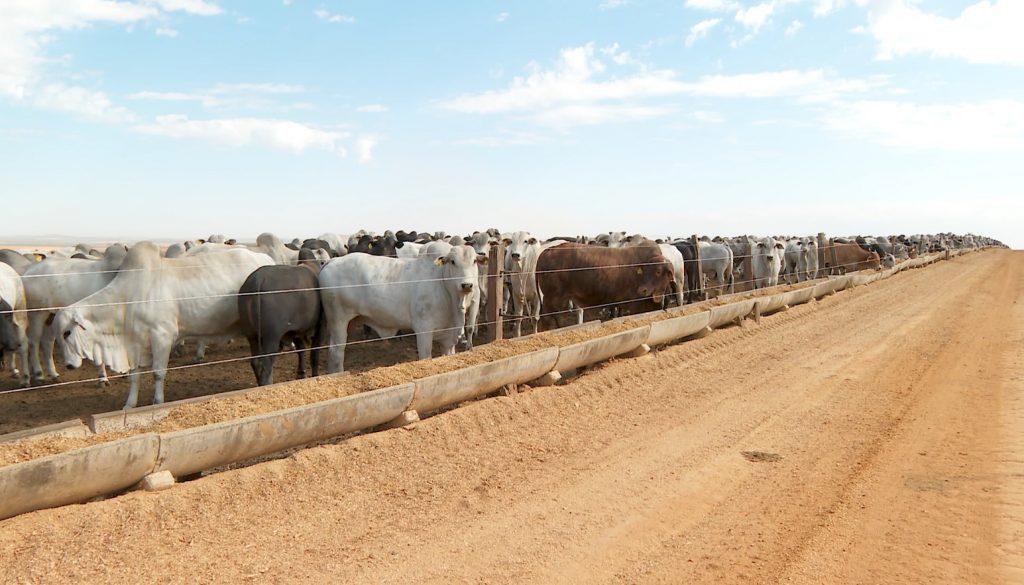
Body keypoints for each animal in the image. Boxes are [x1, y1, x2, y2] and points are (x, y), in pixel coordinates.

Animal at [21, 244, 127, 387]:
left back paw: (54, 375)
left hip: (51, 316)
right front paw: (103, 378)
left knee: (47, 343)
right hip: (37, 314)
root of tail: (28, 272)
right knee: (33, 342)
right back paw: (38, 375)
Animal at [54, 242, 274, 407]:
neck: (128, 297)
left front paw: (157, 402)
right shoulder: (135, 343)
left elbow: (158, 373)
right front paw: (129, 405)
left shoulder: (162, 336)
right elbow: (135, 376)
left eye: (67, 332)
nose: (69, 365)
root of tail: (266, 260)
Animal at [319, 241, 483, 370]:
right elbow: (425, 357)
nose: (467, 285)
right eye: (453, 262)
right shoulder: (423, 330)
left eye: (474, 261)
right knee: (336, 352)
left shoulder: (448, 339)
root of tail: (332, 261)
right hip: (338, 320)